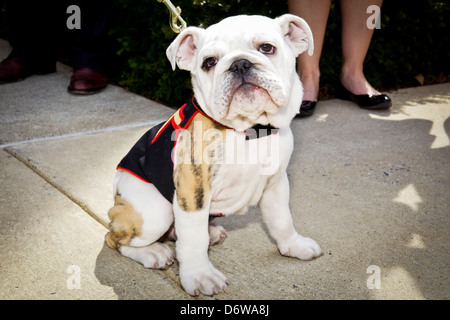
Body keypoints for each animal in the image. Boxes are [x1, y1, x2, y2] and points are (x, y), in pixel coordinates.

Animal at [106, 14, 322, 296]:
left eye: (267, 48)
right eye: (210, 62)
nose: (240, 64)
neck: (249, 130)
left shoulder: (276, 184)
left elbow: (282, 219)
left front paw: (294, 245)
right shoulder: (193, 190)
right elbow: (193, 240)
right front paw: (200, 275)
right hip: (155, 212)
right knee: (115, 238)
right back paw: (153, 252)